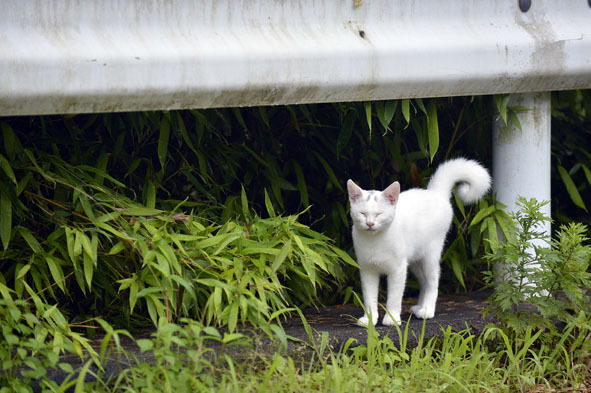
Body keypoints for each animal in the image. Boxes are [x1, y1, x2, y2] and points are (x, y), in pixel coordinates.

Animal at [346, 158, 490, 326]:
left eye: (379, 214)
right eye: (362, 213)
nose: (369, 224)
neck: (375, 241)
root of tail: (435, 193)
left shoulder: (398, 269)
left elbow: (394, 297)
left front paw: (392, 318)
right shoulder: (367, 270)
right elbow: (369, 297)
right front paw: (369, 319)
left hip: (430, 255)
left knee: (433, 281)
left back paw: (427, 310)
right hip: (415, 261)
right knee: (424, 282)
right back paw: (419, 307)